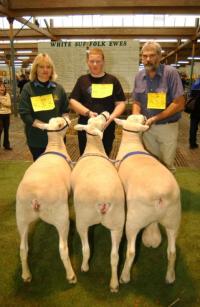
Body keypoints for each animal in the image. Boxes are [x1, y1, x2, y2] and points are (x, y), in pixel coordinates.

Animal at [15, 117, 76, 284]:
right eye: (61, 123)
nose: (68, 117)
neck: (55, 146)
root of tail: (35, 198)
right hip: (60, 217)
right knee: (62, 248)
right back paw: (71, 275)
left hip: (21, 217)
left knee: (23, 249)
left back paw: (26, 275)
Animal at [72, 111, 124, 294]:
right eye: (98, 119)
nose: (104, 113)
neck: (94, 149)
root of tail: (103, 199)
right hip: (117, 223)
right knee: (115, 257)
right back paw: (114, 284)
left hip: (83, 220)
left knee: (86, 249)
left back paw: (84, 267)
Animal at [114, 116, 181, 286]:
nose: (144, 117)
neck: (132, 143)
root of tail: (161, 195)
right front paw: (152, 237)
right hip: (173, 218)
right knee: (172, 252)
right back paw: (170, 277)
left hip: (133, 220)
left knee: (131, 251)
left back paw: (124, 276)